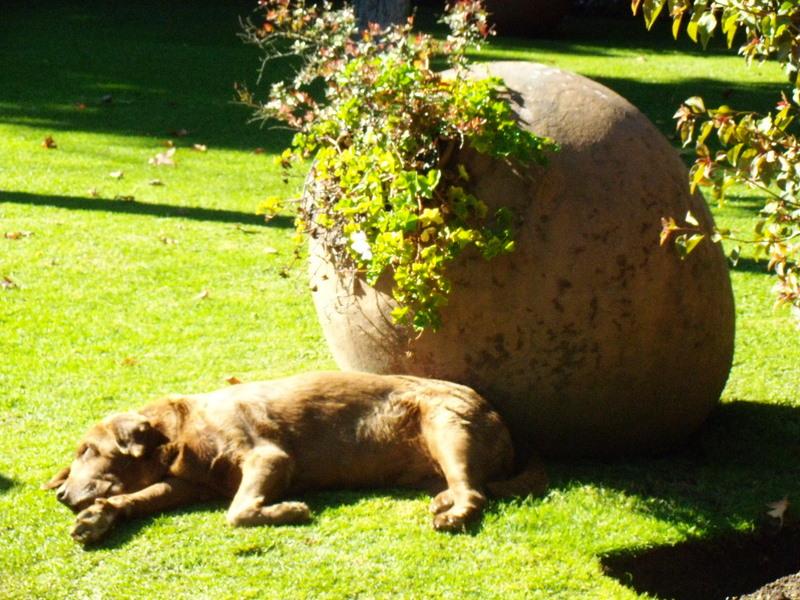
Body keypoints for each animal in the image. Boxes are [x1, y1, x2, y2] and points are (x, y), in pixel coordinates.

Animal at [47, 370, 548, 544]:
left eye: (88, 450)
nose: (61, 494)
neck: (180, 433)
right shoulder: (185, 483)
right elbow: (136, 498)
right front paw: (98, 517)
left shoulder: (269, 457)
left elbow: (238, 511)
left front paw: (287, 510)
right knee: (471, 485)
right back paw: (443, 499)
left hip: (448, 427)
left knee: (475, 491)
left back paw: (453, 512)